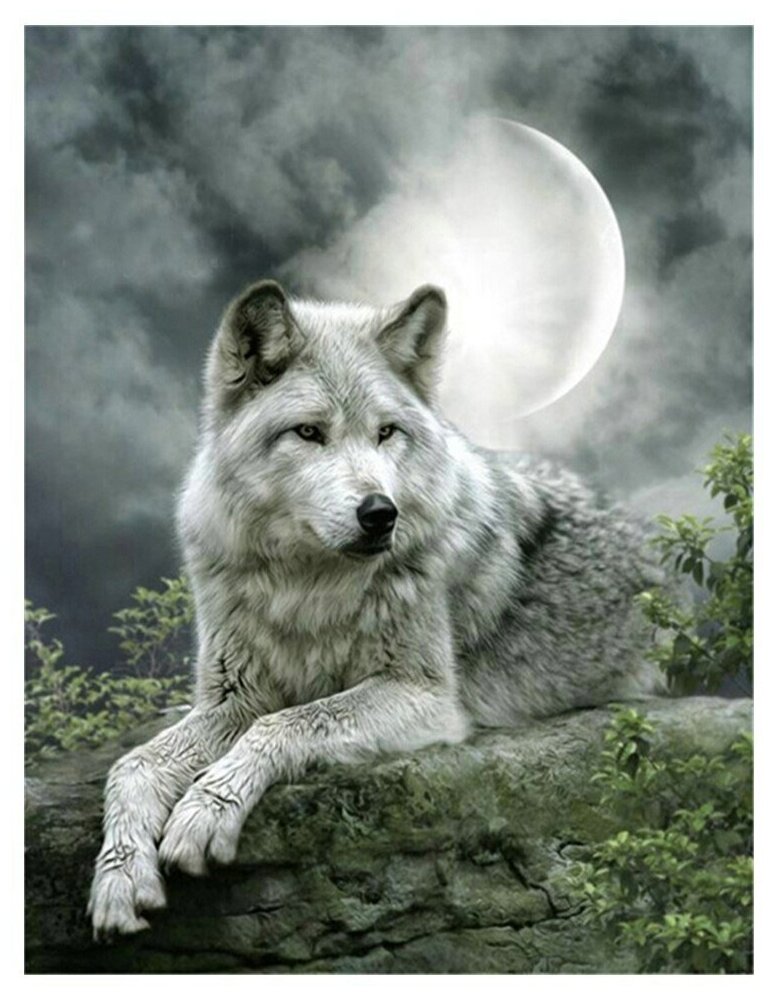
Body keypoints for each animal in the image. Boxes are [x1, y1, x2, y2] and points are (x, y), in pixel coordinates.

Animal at [88, 279, 663, 938]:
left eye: (386, 432)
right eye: (309, 433)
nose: (381, 513)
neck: (307, 586)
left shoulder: (426, 697)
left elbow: (286, 724)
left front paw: (205, 810)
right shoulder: (233, 698)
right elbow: (132, 765)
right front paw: (119, 878)